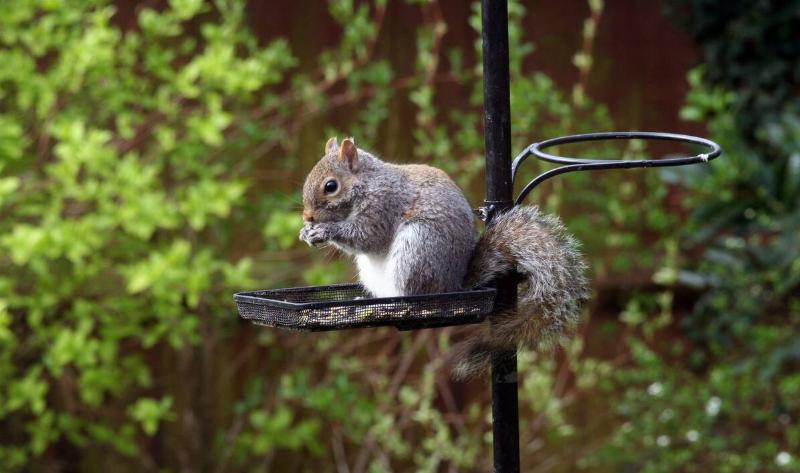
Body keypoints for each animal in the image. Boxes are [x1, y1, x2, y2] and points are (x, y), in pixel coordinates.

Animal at [299, 137, 590, 379]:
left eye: (331, 186)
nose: (307, 216)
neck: (367, 183)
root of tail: (453, 286)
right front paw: (306, 232)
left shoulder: (382, 207)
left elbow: (368, 237)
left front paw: (325, 230)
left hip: (417, 249)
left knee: (414, 299)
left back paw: (396, 306)